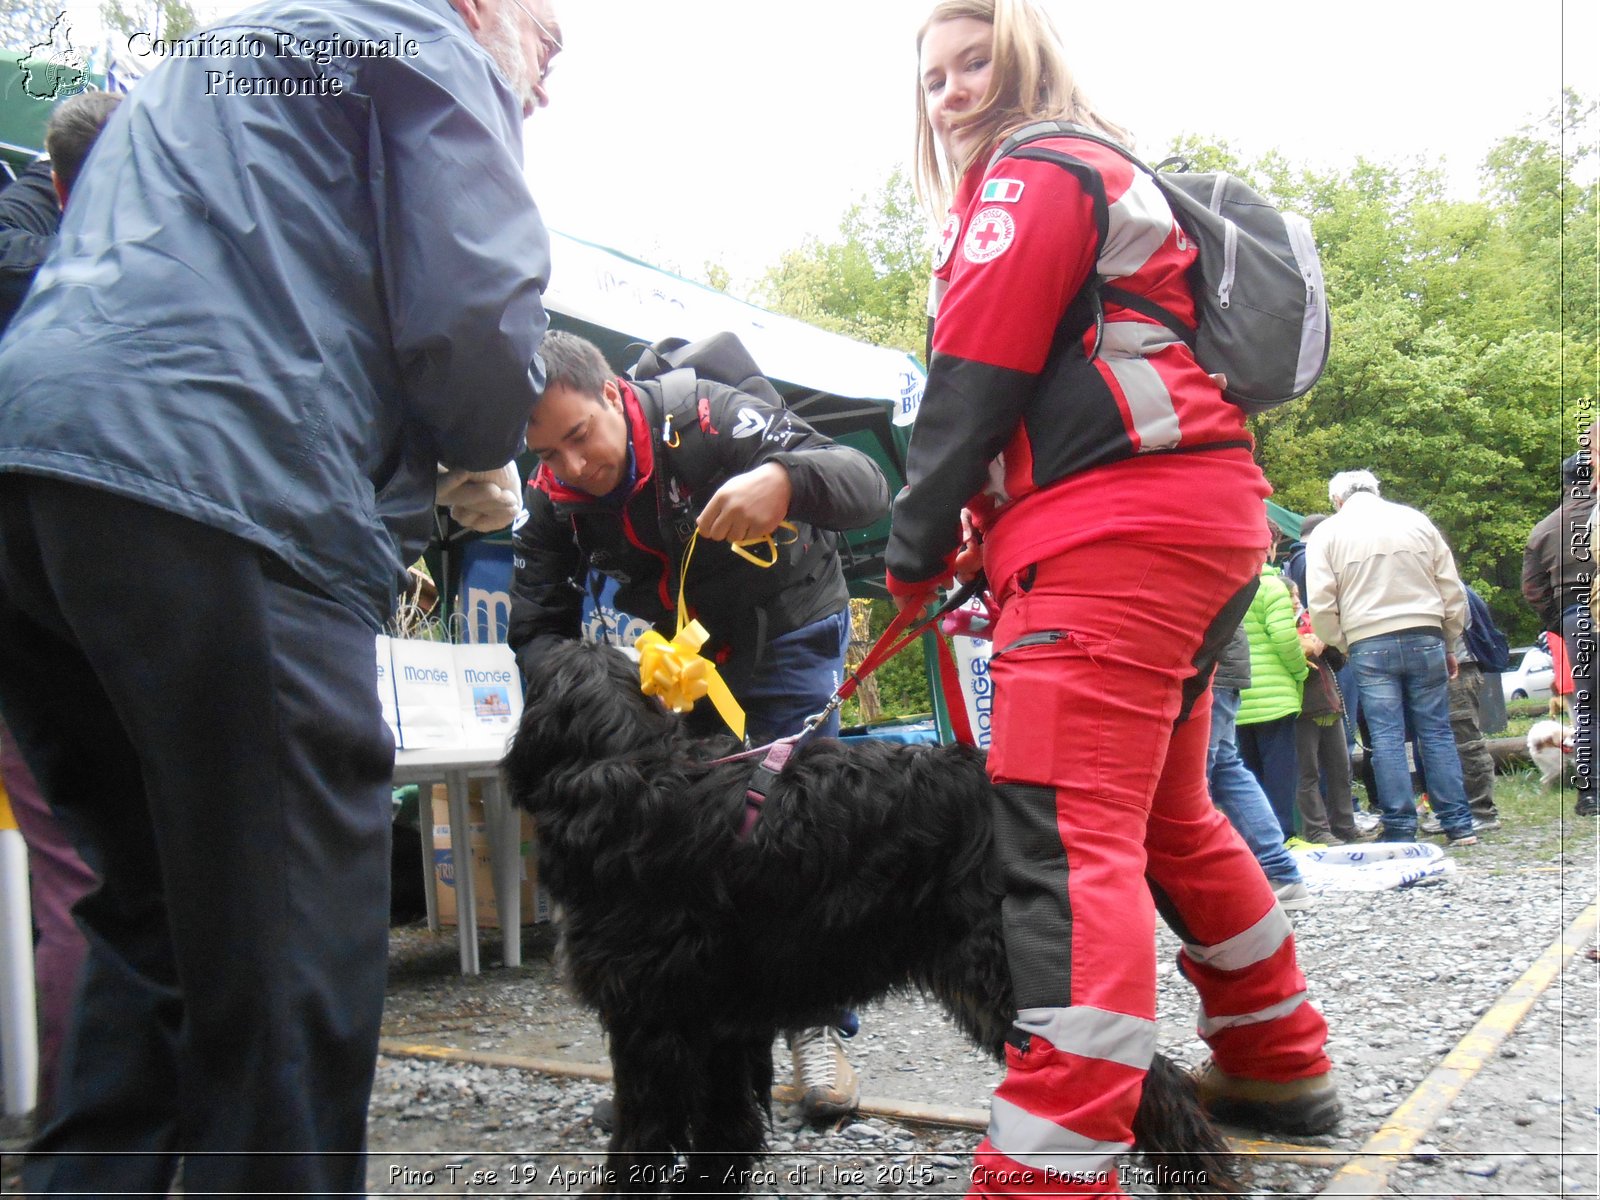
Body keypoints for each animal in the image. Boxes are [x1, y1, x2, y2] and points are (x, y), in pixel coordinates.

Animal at [505, 643, 1241, 1196]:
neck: (628, 769)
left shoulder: (648, 1021)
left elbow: (644, 1133)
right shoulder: (719, 1021)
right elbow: (724, 1127)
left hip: (1007, 976)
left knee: (1149, 1079)